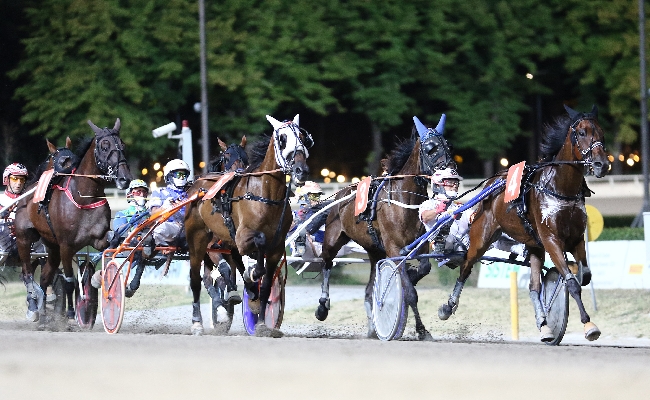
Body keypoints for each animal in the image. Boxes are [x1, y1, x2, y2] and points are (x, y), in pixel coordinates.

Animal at [15, 118, 131, 322]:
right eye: (104, 145)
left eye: (122, 145)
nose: (125, 178)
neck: (83, 197)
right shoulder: (66, 246)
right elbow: (70, 282)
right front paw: (70, 312)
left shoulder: (97, 239)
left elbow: (108, 245)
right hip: (24, 239)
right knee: (28, 273)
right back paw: (34, 307)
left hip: (51, 245)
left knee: (45, 276)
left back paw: (43, 312)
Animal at [184, 114, 312, 336]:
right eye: (282, 139)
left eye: (303, 137)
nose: (300, 170)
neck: (266, 195)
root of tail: (197, 187)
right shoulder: (242, 237)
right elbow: (257, 246)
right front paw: (252, 275)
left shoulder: (276, 248)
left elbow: (267, 284)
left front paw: (261, 322)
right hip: (198, 240)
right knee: (195, 280)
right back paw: (197, 323)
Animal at [316, 115, 456, 340]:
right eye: (431, 148)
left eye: (448, 146)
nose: (451, 174)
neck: (404, 200)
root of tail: (342, 194)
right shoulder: (394, 248)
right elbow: (410, 294)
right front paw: (421, 330)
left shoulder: (418, 244)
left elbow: (424, 268)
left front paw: (413, 275)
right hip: (333, 238)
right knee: (326, 263)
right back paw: (322, 306)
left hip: (374, 251)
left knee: (369, 288)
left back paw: (373, 327)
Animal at [436, 104, 608, 342]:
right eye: (582, 132)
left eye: (602, 132)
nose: (602, 164)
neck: (559, 188)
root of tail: (492, 184)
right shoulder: (551, 239)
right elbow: (572, 282)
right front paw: (588, 324)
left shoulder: (575, 239)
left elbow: (584, 275)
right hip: (481, 237)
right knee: (466, 266)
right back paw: (448, 306)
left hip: (534, 244)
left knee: (534, 286)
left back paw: (544, 325)